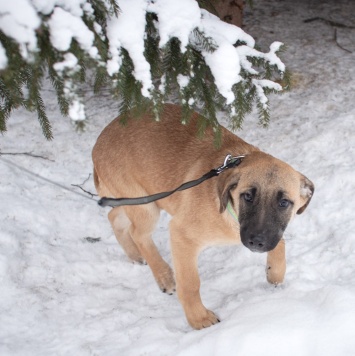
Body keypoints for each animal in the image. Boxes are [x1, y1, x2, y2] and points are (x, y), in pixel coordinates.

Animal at [93, 104, 316, 330]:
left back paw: (135, 256)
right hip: (146, 205)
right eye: (247, 196)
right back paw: (164, 276)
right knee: (138, 233)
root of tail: (99, 141)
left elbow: (281, 242)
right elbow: (190, 284)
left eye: (284, 203)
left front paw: (275, 273)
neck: (230, 213)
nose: (257, 242)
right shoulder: (182, 234)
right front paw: (198, 319)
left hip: (137, 199)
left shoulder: (270, 233)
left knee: (114, 216)